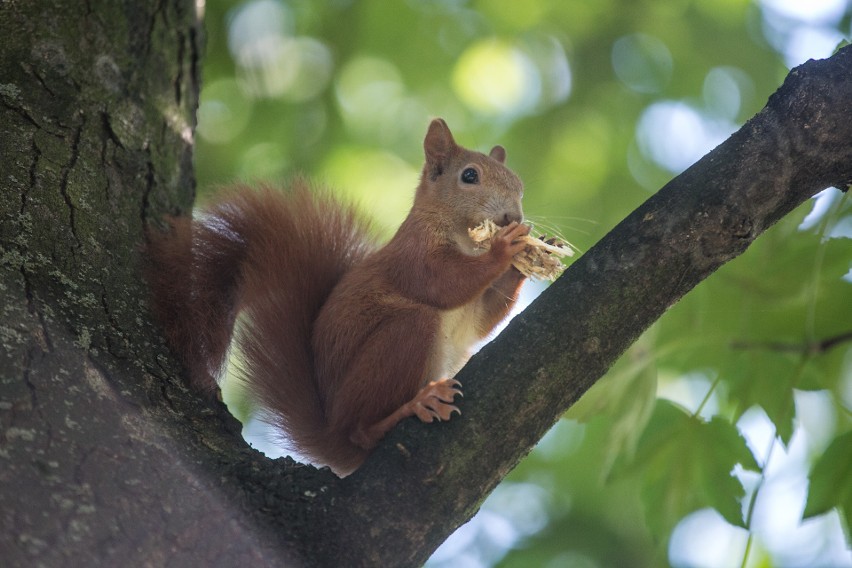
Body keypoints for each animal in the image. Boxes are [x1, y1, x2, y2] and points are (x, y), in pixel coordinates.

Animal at [147, 118, 532, 474]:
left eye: (520, 186)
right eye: (469, 176)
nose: (513, 216)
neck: (465, 240)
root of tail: (332, 433)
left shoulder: (473, 309)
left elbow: (483, 321)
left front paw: (525, 261)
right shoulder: (412, 255)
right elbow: (443, 284)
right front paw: (503, 249)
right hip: (399, 341)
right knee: (360, 430)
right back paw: (412, 407)